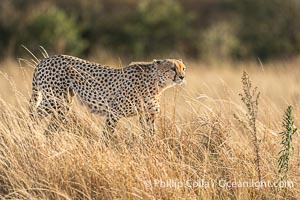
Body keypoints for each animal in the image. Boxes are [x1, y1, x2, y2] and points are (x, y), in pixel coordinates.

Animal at [29, 54, 186, 140]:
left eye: (183, 68)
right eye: (173, 68)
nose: (182, 77)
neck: (157, 84)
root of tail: (45, 59)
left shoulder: (147, 115)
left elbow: (151, 135)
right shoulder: (114, 112)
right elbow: (107, 134)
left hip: (60, 103)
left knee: (47, 124)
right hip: (56, 101)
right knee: (36, 116)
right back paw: (32, 137)